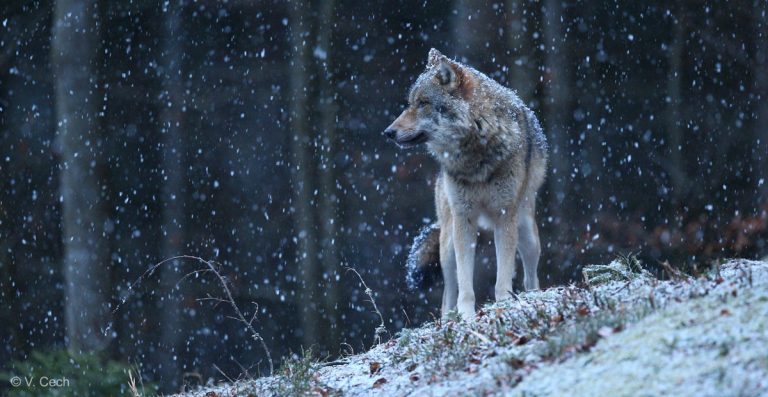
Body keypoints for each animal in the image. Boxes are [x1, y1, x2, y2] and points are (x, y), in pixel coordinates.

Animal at [384, 48, 544, 320]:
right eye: (410, 103)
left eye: (423, 103)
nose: (388, 132)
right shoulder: (464, 219)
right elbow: (465, 284)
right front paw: (467, 316)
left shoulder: (504, 217)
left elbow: (503, 278)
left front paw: (503, 306)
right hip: (447, 243)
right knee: (448, 292)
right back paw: (449, 318)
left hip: (527, 234)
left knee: (530, 277)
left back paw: (533, 297)